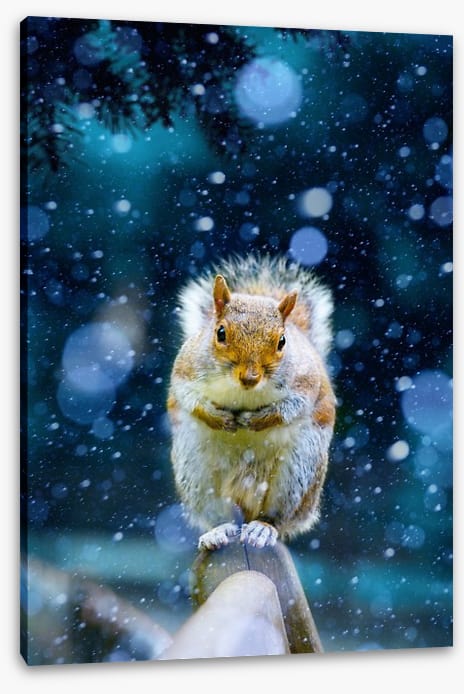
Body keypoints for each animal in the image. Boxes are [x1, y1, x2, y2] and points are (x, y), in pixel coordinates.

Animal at [167, 255, 336, 551]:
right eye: (220, 332)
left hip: (299, 472)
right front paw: (219, 418)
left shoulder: (305, 383)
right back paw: (218, 530)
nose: (250, 377)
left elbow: (291, 408)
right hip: (194, 470)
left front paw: (254, 420)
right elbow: (187, 397)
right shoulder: (185, 370)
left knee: (278, 517)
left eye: (282, 341)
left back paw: (262, 528)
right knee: (216, 514)